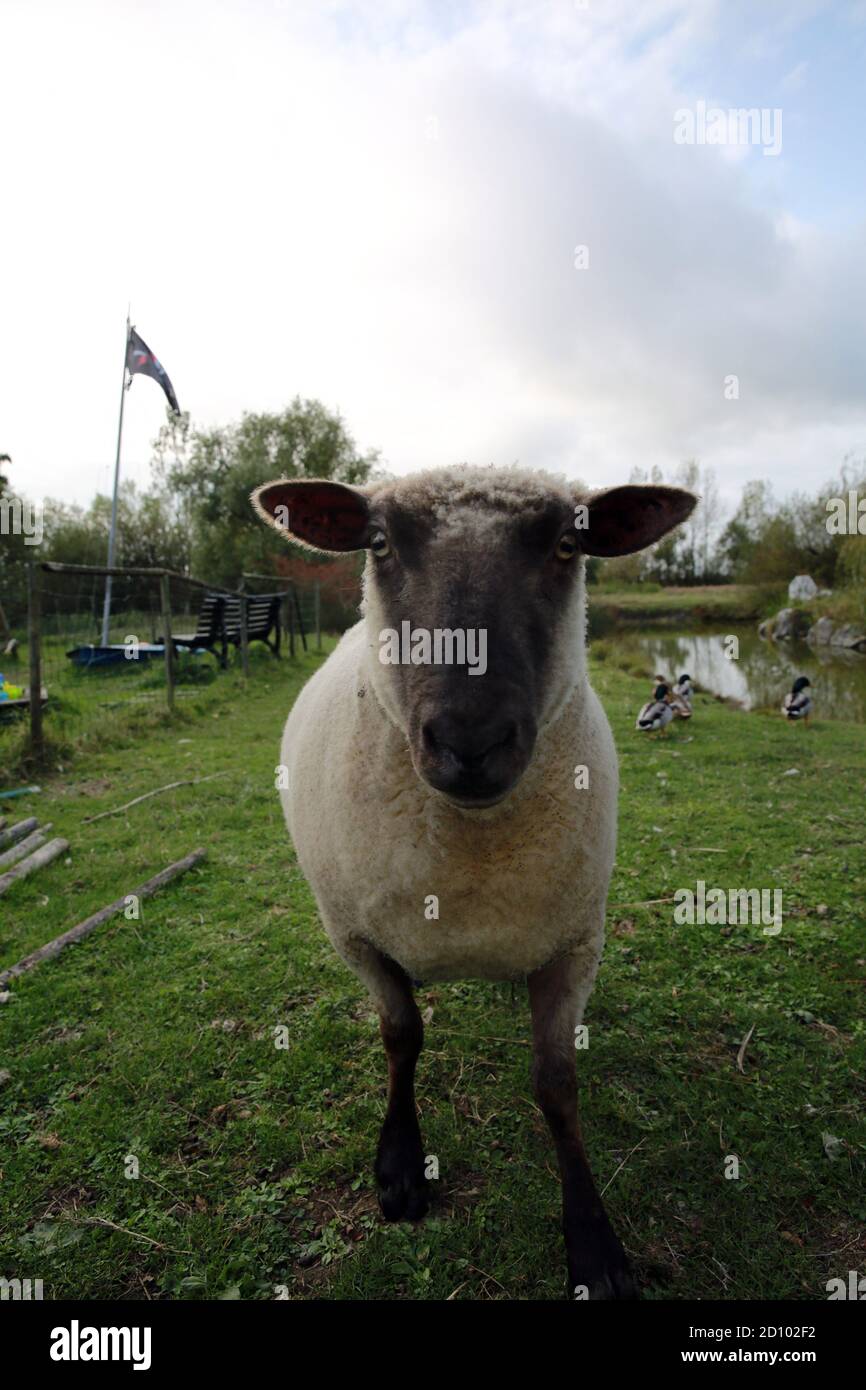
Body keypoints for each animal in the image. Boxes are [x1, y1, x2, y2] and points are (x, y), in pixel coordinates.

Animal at [252, 465, 695, 1299]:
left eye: (568, 545)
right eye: (379, 543)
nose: (471, 740)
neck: (468, 860)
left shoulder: (572, 944)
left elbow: (556, 1085)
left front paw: (594, 1244)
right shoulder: (357, 938)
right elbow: (402, 1037)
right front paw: (399, 1168)